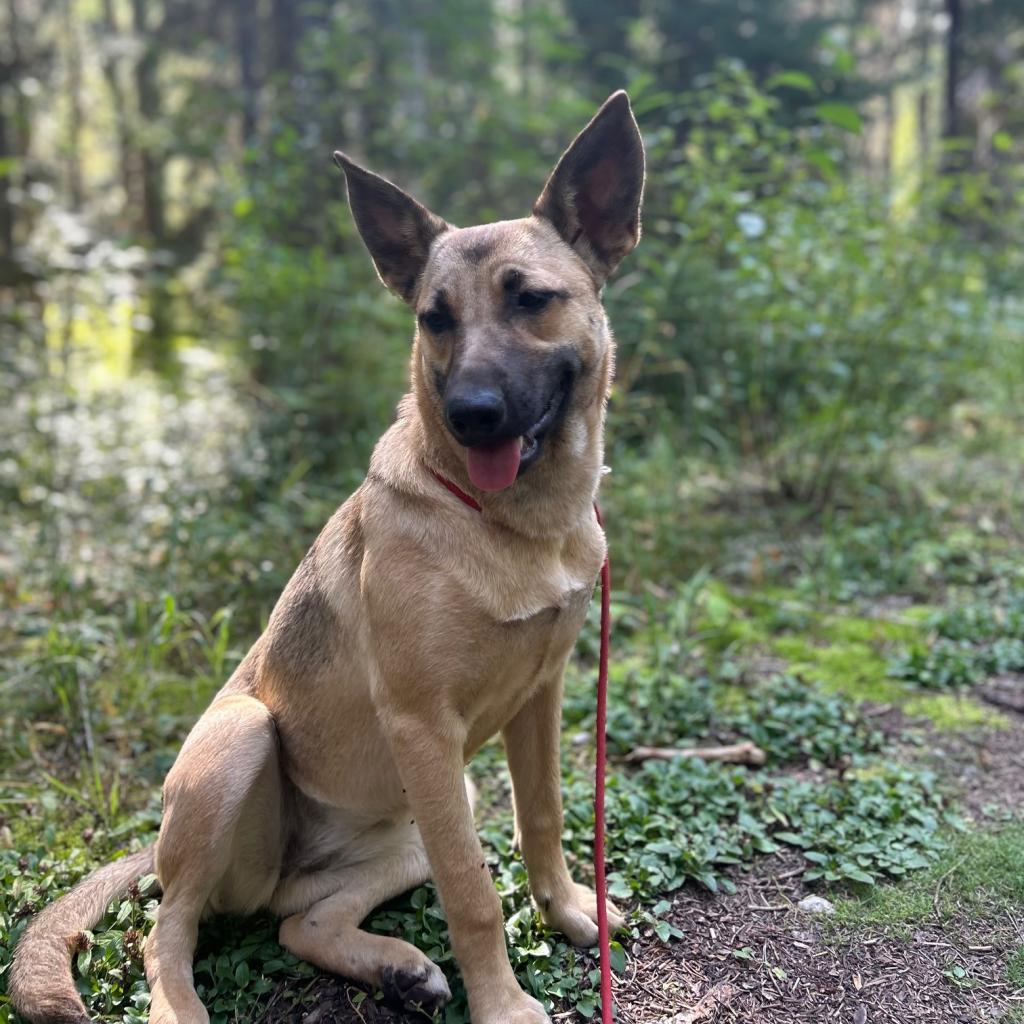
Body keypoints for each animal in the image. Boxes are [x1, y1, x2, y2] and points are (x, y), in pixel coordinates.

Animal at [12, 90, 643, 1024]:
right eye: (434, 319)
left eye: (532, 300)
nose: (471, 415)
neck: (516, 524)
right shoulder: (423, 727)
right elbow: (473, 895)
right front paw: (502, 1004)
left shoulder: (539, 698)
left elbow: (544, 818)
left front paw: (566, 911)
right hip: (246, 741)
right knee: (167, 928)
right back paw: (187, 1002)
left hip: (424, 814)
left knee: (295, 919)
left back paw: (394, 966)